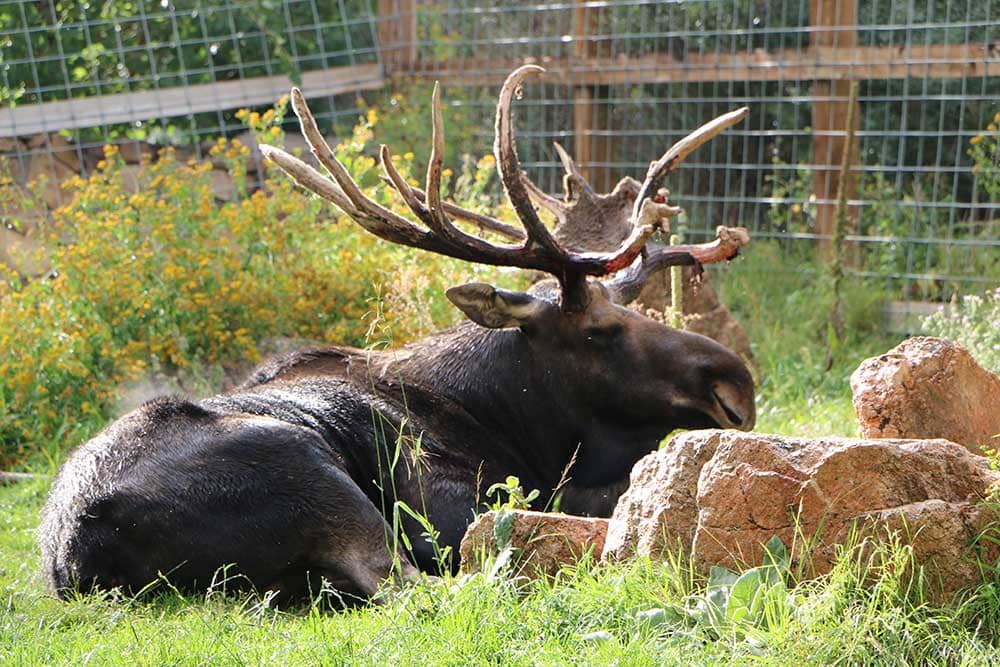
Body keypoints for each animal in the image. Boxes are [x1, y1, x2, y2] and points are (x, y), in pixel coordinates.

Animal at [39, 68, 756, 604]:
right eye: (602, 329)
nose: (739, 384)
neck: (507, 416)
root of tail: (76, 550)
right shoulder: (446, 501)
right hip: (310, 470)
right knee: (419, 583)